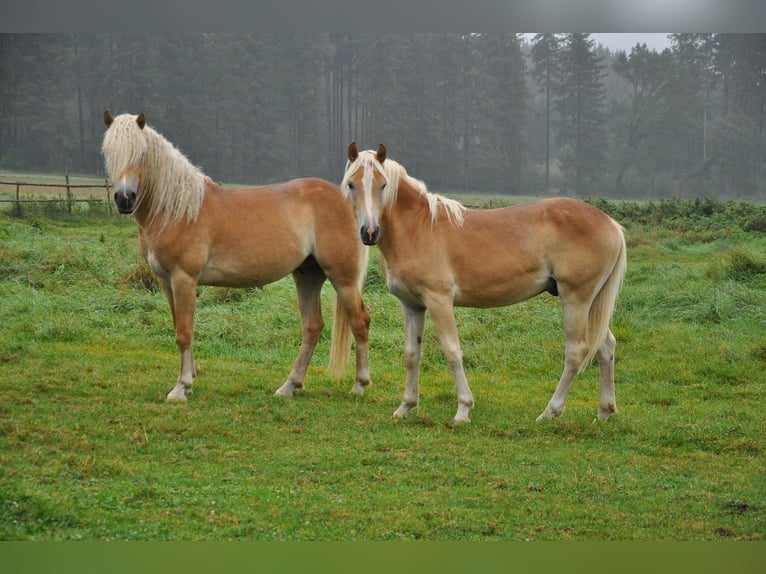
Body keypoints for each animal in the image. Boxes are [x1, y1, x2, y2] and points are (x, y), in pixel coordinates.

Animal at [103, 111, 376, 400]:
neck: (178, 210)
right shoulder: (167, 281)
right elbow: (179, 326)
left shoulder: (184, 279)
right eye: (109, 152)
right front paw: (190, 377)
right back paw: (289, 385)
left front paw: (180, 388)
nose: (124, 199)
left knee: (360, 322)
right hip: (308, 276)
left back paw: (359, 384)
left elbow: (184, 332)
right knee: (312, 327)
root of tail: (350, 199)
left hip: (343, 279)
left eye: (141, 153)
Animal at [344, 142, 632, 426]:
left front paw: (463, 409)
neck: (418, 227)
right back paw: (604, 411)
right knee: (606, 347)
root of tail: (611, 224)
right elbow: (412, 354)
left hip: (576, 300)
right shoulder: (412, 305)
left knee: (577, 351)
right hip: (592, 304)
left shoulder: (439, 300)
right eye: (351, 184)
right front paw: (406, 406)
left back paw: (551, 411)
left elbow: (452, 351)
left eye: (382, 184)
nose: (369, 233)